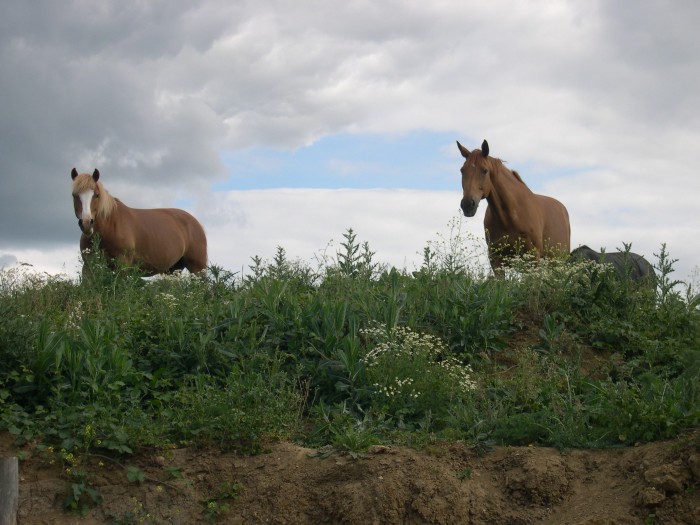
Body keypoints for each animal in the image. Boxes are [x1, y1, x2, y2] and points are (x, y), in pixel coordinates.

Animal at [71, 168, 208, 274]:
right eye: (74, 195)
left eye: (97, 195)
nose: (86, 223)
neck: (109, 227)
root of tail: (195, 223)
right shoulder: (88, 267)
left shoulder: (123, 265)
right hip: (173, 270)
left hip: (197, 268)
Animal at [456, 137, 572, 272]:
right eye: (462, 170)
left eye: (484, 170)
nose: (467, 204)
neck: (511, 216)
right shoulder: (496, 260)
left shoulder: (533, 257)